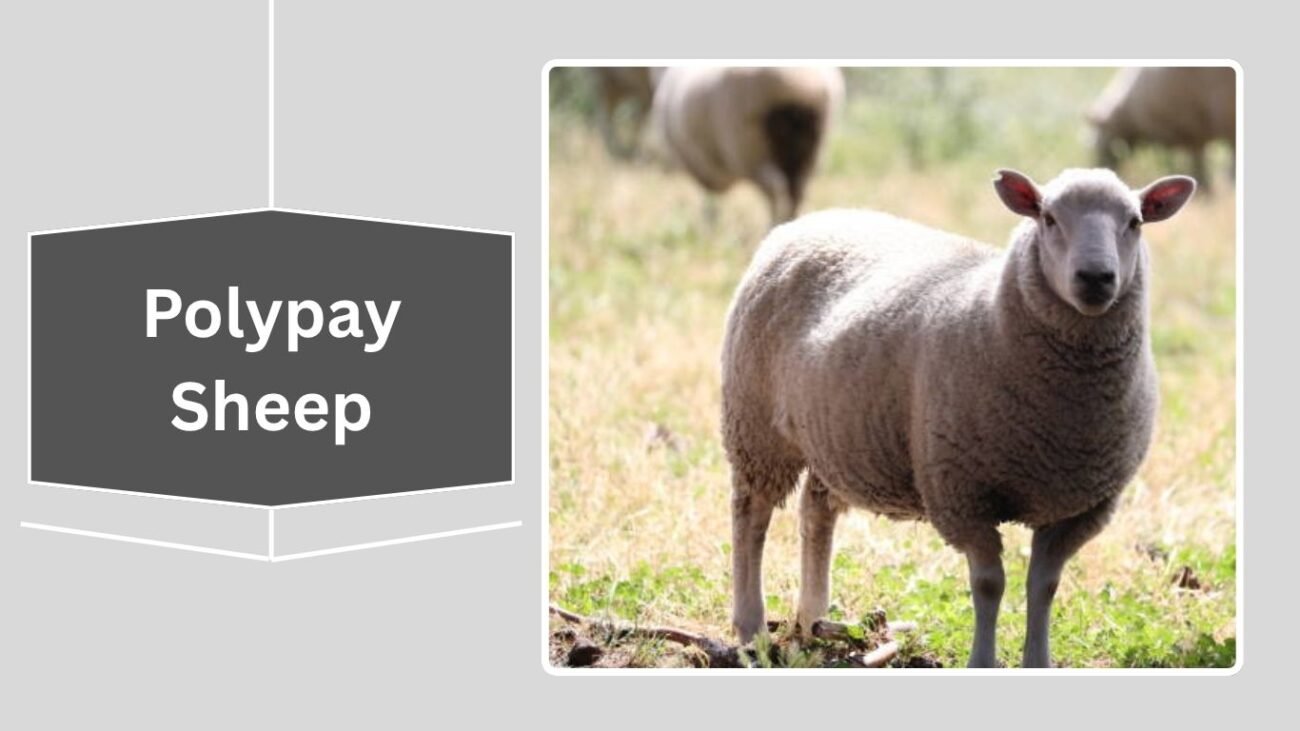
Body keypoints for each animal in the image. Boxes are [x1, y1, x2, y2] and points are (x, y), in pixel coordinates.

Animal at [650, 66, 844, 227]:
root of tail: (799, 80)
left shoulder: (700, 164)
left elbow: (709, 198)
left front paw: (709, 224)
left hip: (749, 148)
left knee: (775, 188)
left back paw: (772, 226)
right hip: (809, 146)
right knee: (798, 191)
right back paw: (790, 222)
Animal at [720, 167, 1196, 667]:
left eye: (1135, 222)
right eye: (1048, 218)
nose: (1096, 278)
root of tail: (804, 222)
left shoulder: (1078, 509)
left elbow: (1043, 586)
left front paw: (1037, 661)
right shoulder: (962, 494)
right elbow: (989, 584)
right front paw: (982, 661)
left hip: (835, 435)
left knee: (816, 511)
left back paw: (812, 619)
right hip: (755, 425)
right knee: (751, 517)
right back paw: (752, 629)